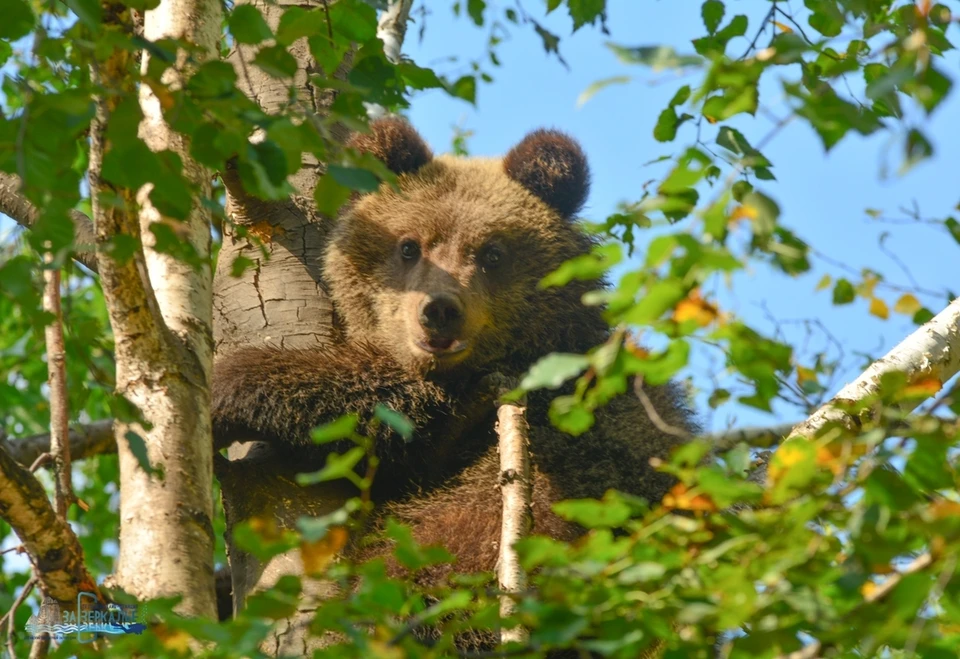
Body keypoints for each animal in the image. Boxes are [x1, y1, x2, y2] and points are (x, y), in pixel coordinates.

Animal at [212, 120, 696, 656]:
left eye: (492, 252)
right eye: (409, 245)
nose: (440, 309)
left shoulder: (526, 387)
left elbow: (383, 414)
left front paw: (227, 387)